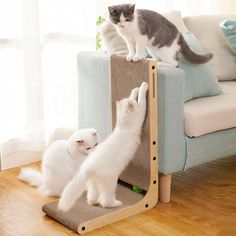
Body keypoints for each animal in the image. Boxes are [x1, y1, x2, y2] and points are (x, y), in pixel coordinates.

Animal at [58, 82, 148, 211]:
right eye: (135, 104)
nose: (133, 102)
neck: (122, 125)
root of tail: (88, 168)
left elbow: (132, 94)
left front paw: (135, 89)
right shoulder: (141, 112)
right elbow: (142, 99)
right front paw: (144, 86)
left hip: (93, 184)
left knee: (91, 197)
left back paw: (94, 203)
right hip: (110, 182)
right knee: (106, 201)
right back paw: (115, 204)